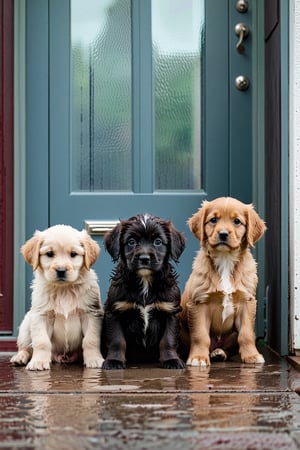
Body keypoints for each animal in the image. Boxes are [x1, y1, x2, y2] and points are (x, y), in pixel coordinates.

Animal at [10, 224, 104, 370]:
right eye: (49, 254)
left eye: (73, 254)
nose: (61, 270)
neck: (63, 289)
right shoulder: (40, 315)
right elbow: (41, 341)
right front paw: (38, 362)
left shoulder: (91, 314)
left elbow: (91, 340)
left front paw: (94, 359)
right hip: (26, 324)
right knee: (25, 347)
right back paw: (20, 357)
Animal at [101, 214, 185, 370]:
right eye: (131, 241)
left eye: (158, 242)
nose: (144, 258)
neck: (145, 282)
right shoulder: (115, 311)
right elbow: (117, 340)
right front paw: (114, 361)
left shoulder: (170, 311)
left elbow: (168, 339)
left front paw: (172, 360)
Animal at [180, 197, 268, 366]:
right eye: (213, 220)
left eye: (237, 221)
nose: (223, 234)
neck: (225, 260)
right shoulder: (199, 303)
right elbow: (200, 335)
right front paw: (198, 358)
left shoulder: (247, 302)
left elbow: (246, 334)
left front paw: (252, 356)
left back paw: (219, 353)